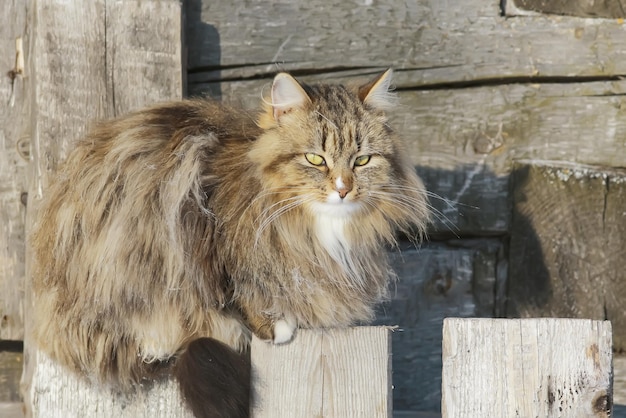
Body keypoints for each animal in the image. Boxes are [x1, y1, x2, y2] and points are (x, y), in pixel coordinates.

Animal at [29, 70, 428, 416]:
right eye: (315, 158)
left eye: (362, 160)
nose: (343, 189)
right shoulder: (207, 228)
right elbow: (242, 294)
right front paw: (277, 327)